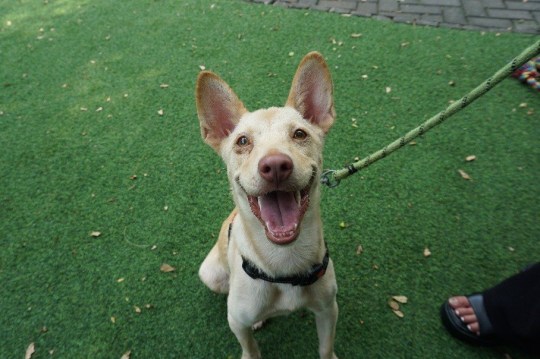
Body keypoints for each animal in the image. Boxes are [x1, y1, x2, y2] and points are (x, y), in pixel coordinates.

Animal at [194, 52, 338, 359]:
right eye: (242, 141)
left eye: (299, 134)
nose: (275, 166)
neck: (286, 263)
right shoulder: (236, 320)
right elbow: (250, 348)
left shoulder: (328, 309)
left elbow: (325, 346)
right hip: (210, 274)